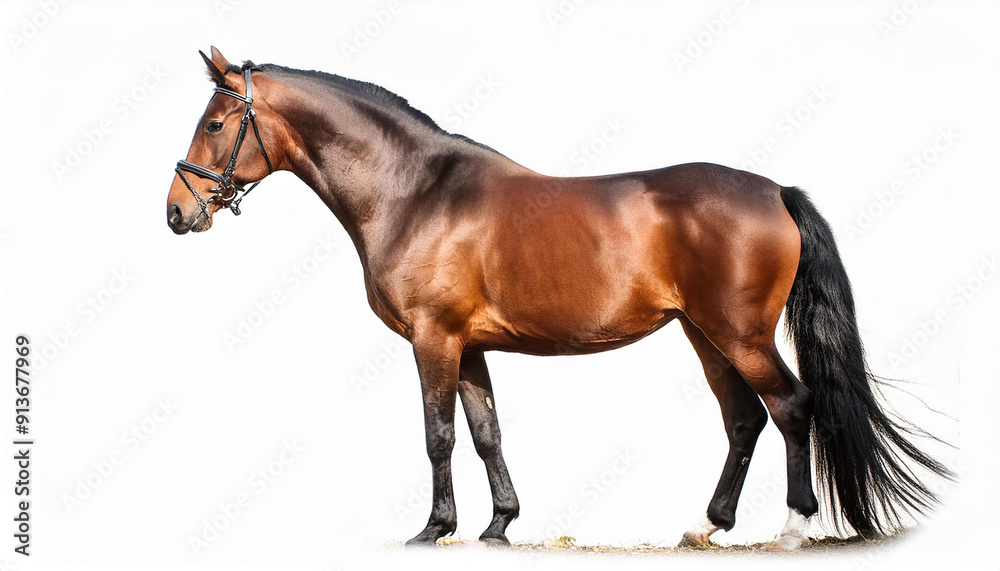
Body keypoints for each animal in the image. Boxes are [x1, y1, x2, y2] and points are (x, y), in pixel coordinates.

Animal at [166, 47, 953, 550]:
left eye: (214, 123)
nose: (177, 212)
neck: (416, 191)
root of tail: (775, 191)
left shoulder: (434, 338)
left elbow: (438, 433)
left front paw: (433, 528)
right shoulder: (468, 345)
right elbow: (485, 432)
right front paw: (498, 524)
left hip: (740, 334)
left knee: (790, 407)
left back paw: (792, 528)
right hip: (703, 334)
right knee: (743, 420)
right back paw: (706, 525)